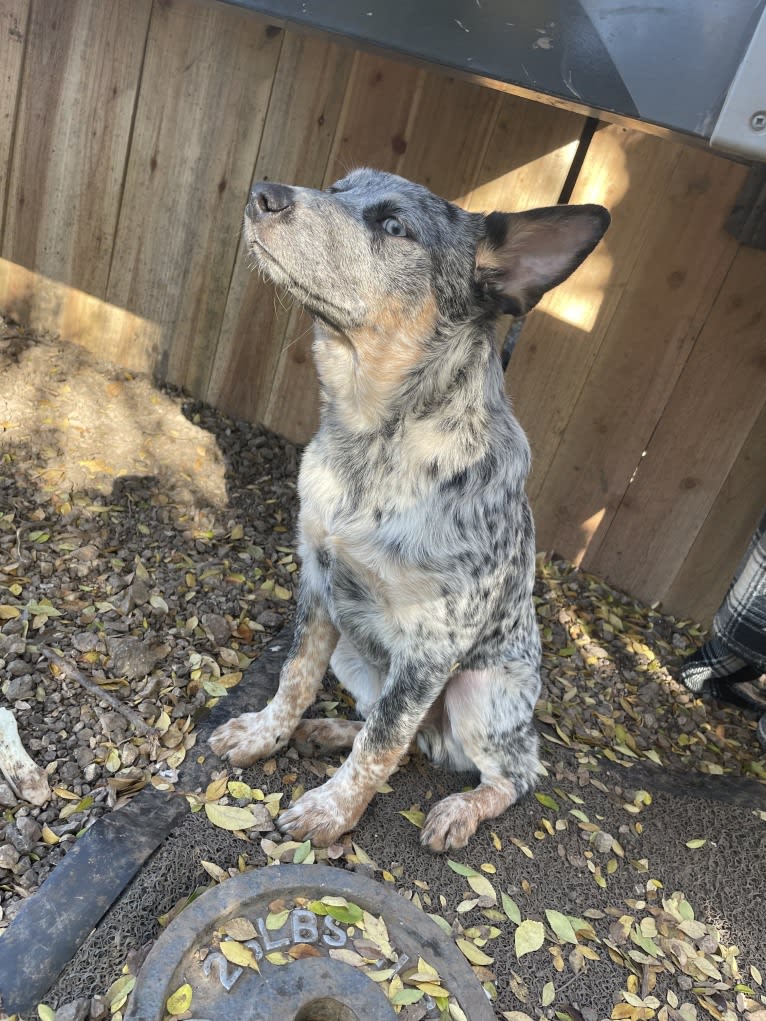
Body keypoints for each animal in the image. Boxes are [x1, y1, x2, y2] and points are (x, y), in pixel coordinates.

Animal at [211, 169, 612, 853]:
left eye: (395, 226)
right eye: (338, 186)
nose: (263, 193)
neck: (375, 439)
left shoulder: (434, 640)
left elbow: (385, 741)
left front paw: (332, 811)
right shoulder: (318, 582)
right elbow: (296, 678)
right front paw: (266, 734)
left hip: (482, 692)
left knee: (507, 771)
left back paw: (460, 810)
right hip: (353, 652)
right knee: (411, 734)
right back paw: (328, 732)